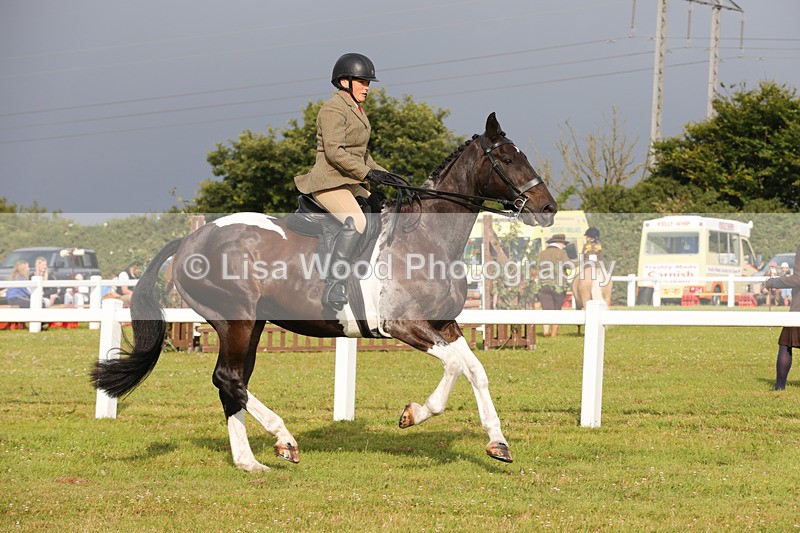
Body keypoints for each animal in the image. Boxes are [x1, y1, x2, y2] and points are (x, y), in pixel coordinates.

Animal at [91, 112, 557, 472]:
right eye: (507, 158)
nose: (548, 208)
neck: (426, 238)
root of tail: (191, 239)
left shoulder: (444, 323)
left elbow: (474, 369)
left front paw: (497, 443)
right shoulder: (403, 325)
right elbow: (456, 367)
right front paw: (413, 414)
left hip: (249, 326)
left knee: (232, 382)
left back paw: (249, 462)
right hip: (236, 321)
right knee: (228, 379)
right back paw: (284, 439)